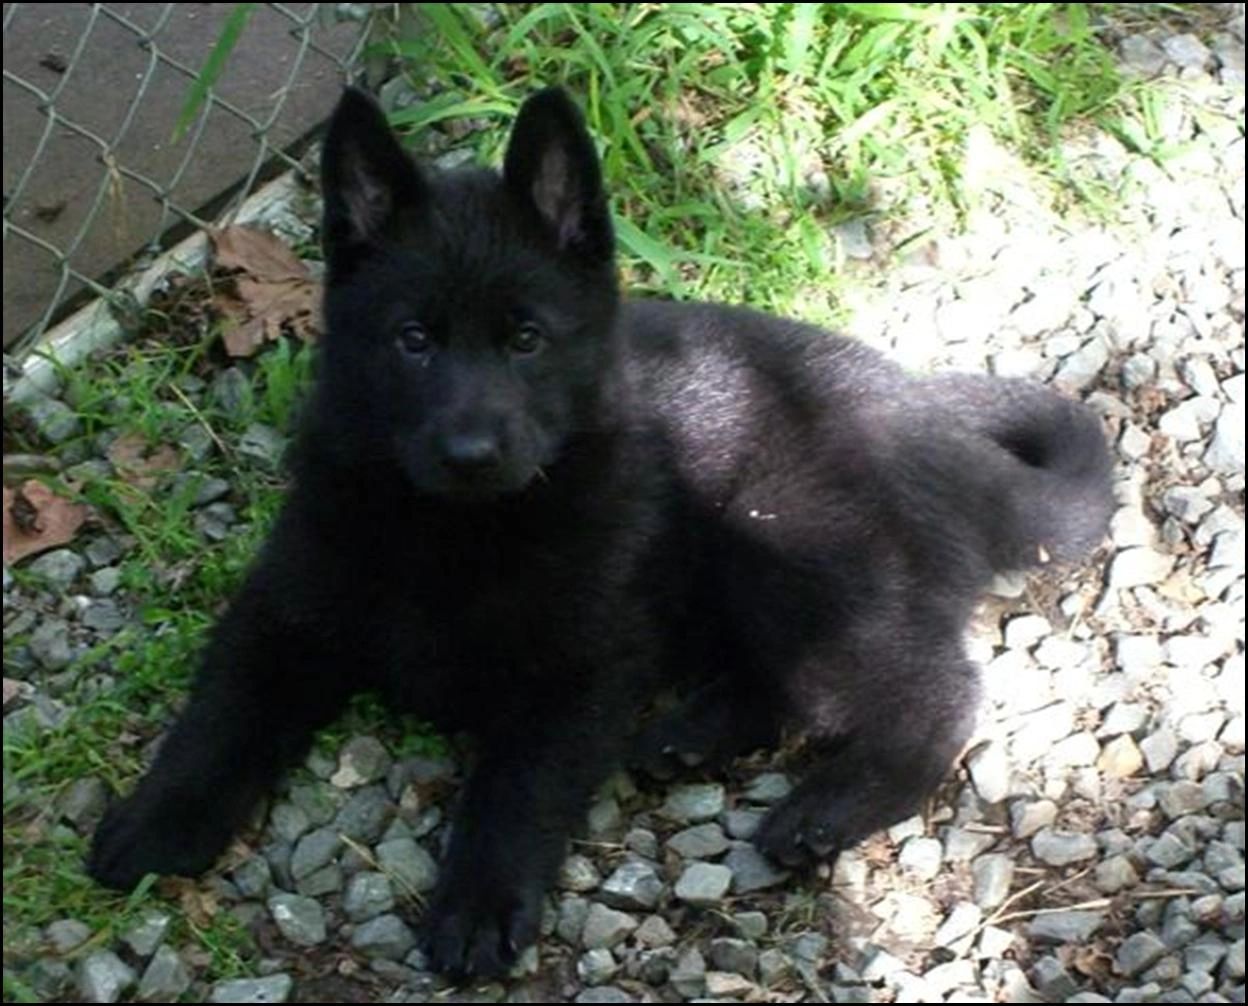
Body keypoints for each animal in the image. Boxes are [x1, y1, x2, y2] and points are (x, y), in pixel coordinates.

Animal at [90, 84, 1113, 978]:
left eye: (526, 339)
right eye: (412, 339)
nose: (471, 453)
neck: (458, 530)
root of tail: (931, 424)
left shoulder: (577, 672)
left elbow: (515, 787)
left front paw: (479, 903)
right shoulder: (283, 614)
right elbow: (221, 714)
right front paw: (156, 817)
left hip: (787, 538)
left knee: (937, 690)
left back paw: (827, 802)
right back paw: (692, 734)